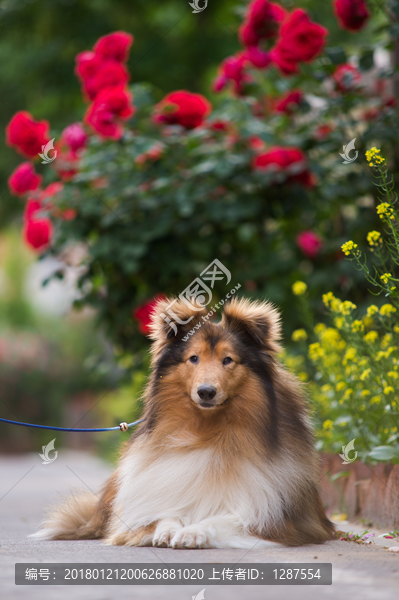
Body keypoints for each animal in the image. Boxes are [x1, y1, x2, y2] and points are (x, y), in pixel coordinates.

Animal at [31, 296, 336, 548]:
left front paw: (193, 531)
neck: (207, 430)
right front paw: (167, 530)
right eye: (194, 358)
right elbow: (163, 514)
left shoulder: (277, 519)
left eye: (228, 360)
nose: (206, 392)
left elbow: (224, 518)